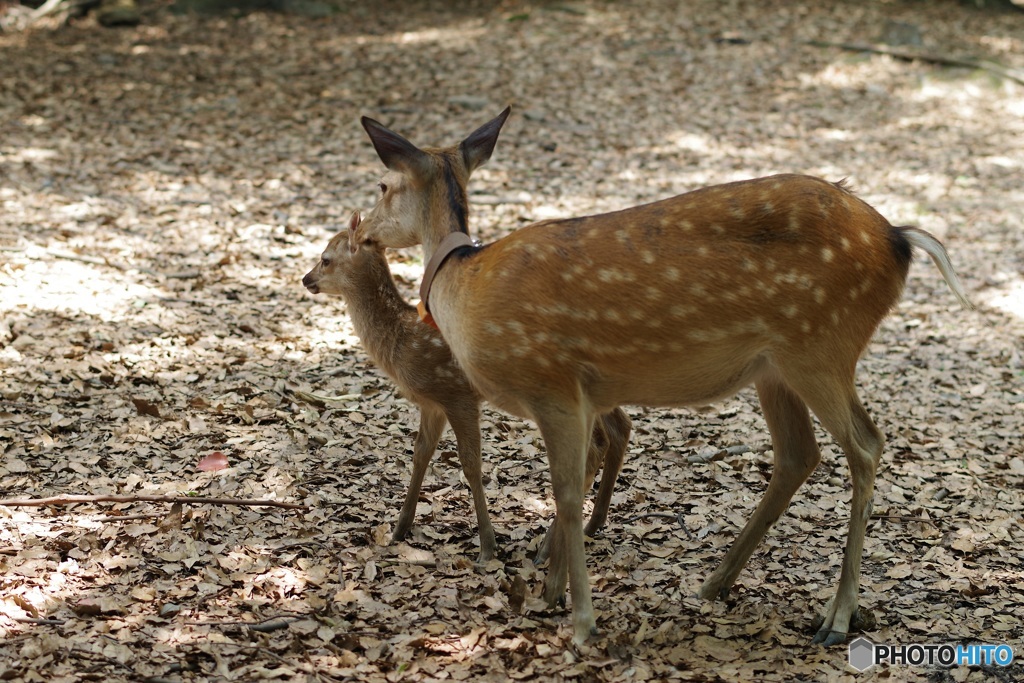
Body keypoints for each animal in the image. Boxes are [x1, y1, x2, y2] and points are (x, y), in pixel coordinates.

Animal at [303, 210, 626, 565]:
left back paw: (547, 549)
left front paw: (487, 546)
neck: (402, 342)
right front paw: (400, 529)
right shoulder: (432, 402)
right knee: (619, 428)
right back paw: (592, 524)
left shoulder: (456, 393)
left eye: (326, 259)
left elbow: (470, 463)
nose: (306, 279)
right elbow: (420, 453)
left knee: (596, 446)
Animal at [348, 107, 970, 647]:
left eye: (382, 186)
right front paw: (551, 592)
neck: (464, 286)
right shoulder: (580, 395)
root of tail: (901, 240)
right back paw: (715, 582)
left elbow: (566, 491)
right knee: (799, 453)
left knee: (865, 444)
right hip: (776, 366)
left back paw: (837, 618)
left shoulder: (552, 383)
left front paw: (580, 619)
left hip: (820, 345)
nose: (364, 233)